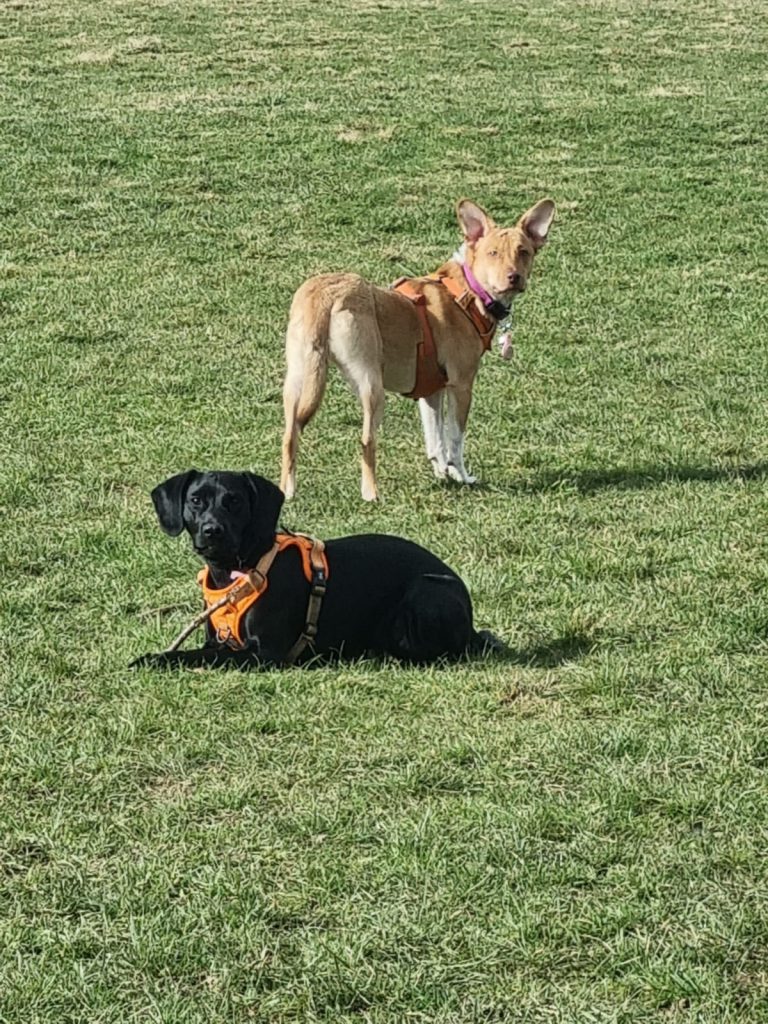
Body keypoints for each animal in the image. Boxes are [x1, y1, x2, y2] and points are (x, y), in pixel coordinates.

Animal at [132, 471, 505, 671]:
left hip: (426, 590)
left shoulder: (264, 654)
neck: (239, 570)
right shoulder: (219, 639)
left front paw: (153, 659)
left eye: (234, 501)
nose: (212, 531)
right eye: (196, 500)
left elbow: (200, 656)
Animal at [280, 197, 557, 501]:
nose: (514, 277)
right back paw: (371, 494)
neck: (467, 293)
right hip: (371, 385)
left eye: (524, 252)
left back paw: (287, 491)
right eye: (493, 253)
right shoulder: (461, 386)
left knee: (290, 434)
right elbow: (454, 440)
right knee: (366, 439)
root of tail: (327, 294)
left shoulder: (431, 392)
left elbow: (435, 440)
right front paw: (462, 476)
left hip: (298, 378)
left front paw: (442, 474)